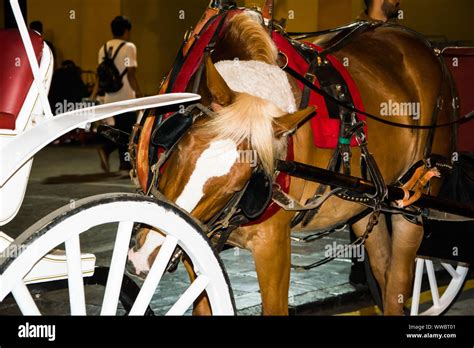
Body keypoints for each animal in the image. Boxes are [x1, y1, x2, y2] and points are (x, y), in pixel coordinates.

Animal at [129, 11, 452, 316]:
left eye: (239, 183)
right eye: (181, 146)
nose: (146, 257)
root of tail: (424, 45)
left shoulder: (272, 244)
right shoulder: (198, 243)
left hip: (413, 204)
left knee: (399, 280)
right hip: (364, 204)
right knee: (383, 268)